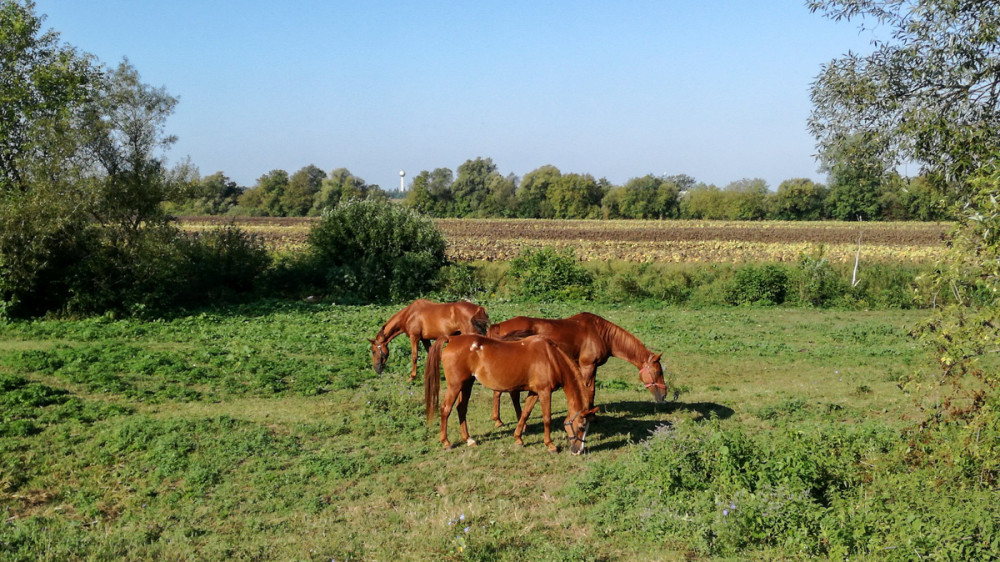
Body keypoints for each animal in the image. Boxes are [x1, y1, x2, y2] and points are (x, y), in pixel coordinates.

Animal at [420, 334, 592, 452]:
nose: (579, 450)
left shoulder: (534, 392)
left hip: (467, 384)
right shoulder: (544, 392)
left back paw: (468, 439)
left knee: (461, 409)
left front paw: (518, 438)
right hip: (455, 386)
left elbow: (525, 414)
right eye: (581, 426)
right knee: (446, 409)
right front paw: (550, 445)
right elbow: (546, 418)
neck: (551, 358)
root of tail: (452, 339)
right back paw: (446, 442)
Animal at [488, 310, 668, 424]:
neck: (601, 333)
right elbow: (587, 390)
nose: (664, 396)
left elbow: (592, 391)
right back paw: (502, 420)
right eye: (658, 371)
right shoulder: (587, 366)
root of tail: (497, 326)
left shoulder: (591, 367)